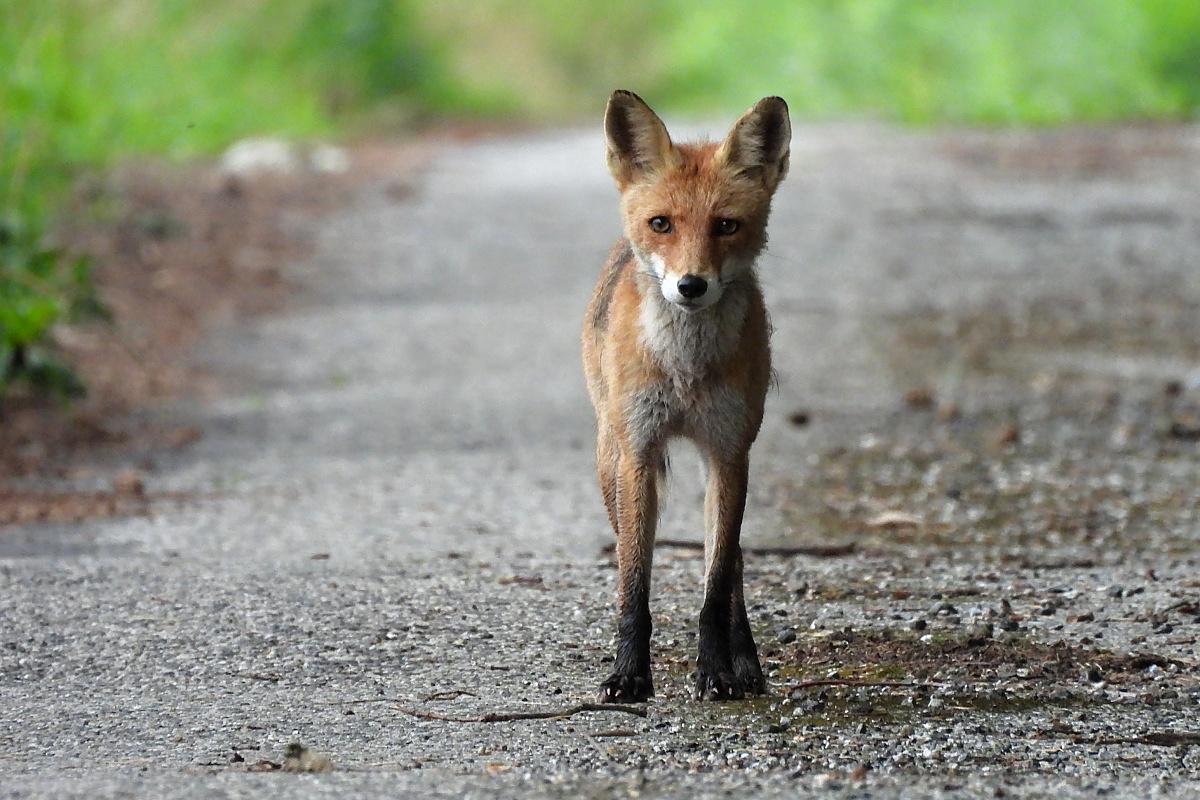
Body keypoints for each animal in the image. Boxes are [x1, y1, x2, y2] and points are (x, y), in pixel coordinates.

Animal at [585, 89, 792, 700]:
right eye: (662, 224)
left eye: (726, 225)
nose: (691, 285)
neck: (685, 370)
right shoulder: (638, 451)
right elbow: (634, 582)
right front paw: (629, 674)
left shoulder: (729, 451)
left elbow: (716, 584)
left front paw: (716, 671)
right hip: (610, 461)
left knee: (733, 565)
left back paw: (744, 661)